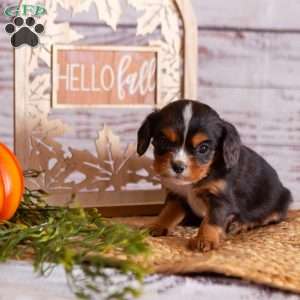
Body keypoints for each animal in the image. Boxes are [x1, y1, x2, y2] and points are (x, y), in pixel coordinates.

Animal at [137, 99, 292, 252]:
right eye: (163, 141)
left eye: (203, 148)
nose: (178, 166)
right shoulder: (177, 194)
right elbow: (168, 212)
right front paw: (156, 225)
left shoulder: (220, 198)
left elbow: (212, 219)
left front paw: (205, 239)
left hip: (279, 202)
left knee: (263, 218)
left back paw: (238, 224)